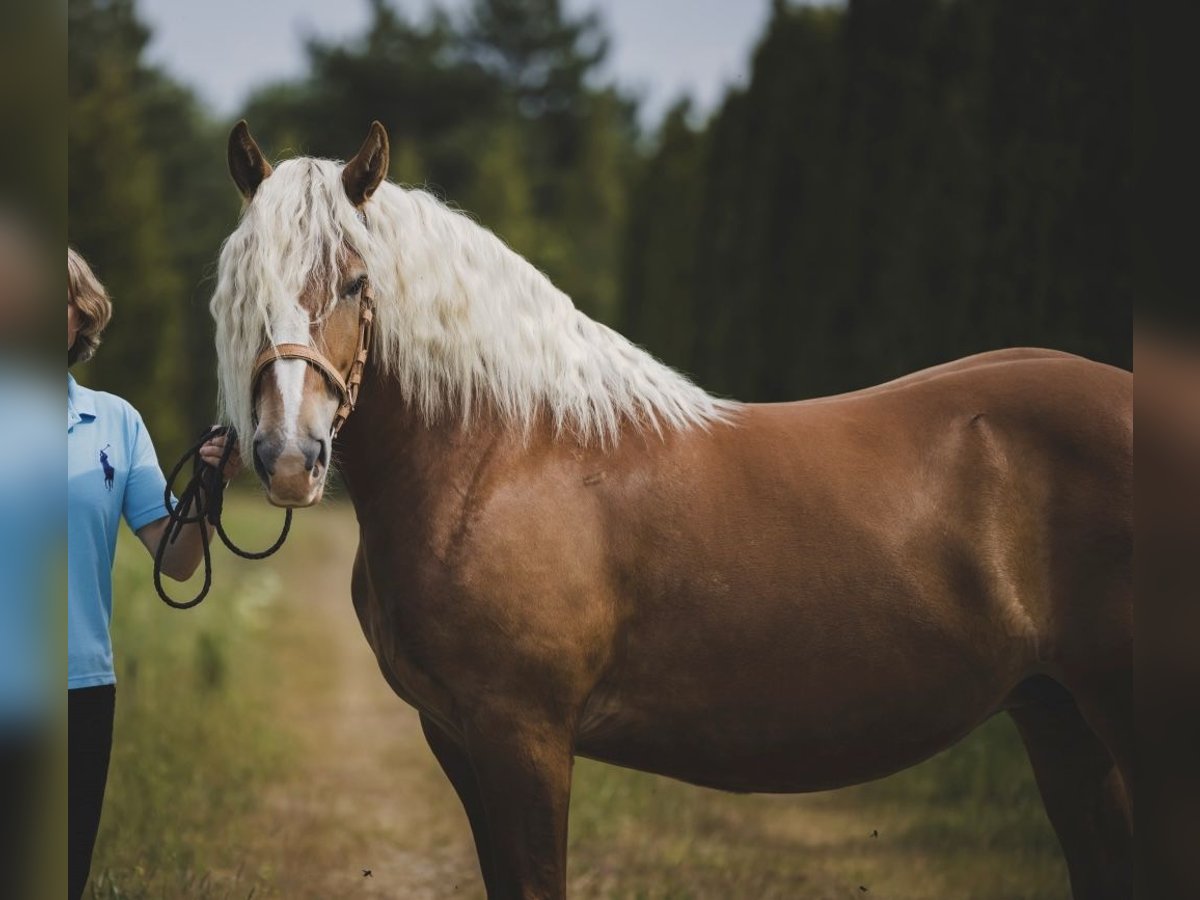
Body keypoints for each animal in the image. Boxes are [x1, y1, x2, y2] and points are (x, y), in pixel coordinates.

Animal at [211, 121, 1128, 900]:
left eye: (355, 281)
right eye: (239, 293)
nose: (289, 459)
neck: (504, 454)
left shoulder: (524, 737)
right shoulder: (457, 738)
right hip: (1062, 723)